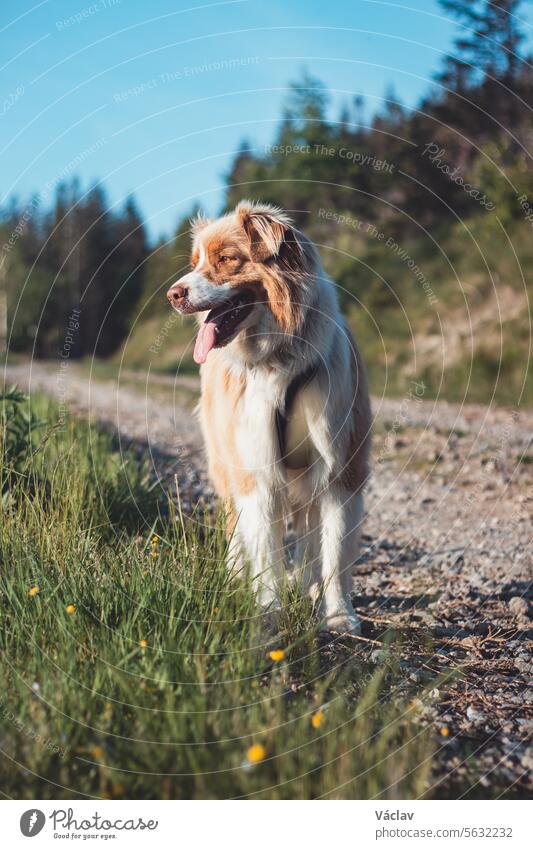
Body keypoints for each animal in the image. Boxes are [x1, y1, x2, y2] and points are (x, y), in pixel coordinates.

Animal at [166, 202, 370, 632]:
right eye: (195, 263)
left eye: (227, 259)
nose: (173, 294)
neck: (280, 356)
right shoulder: (255, 470)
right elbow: (264, 548)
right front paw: (268, 610)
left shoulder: (341, 468)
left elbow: (335, 550)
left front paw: (338, 615)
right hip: (225, 464)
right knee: (238, 529)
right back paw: (235, 577)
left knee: (308, 534)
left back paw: (306, 586)